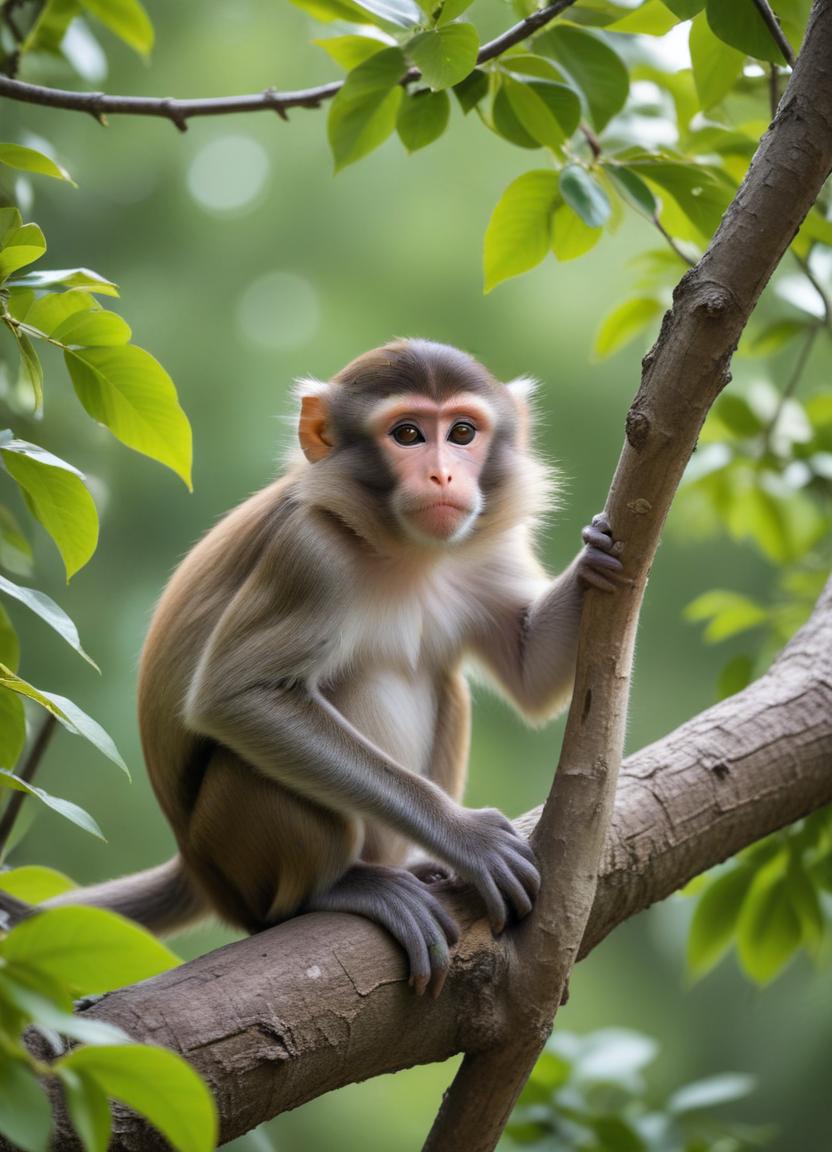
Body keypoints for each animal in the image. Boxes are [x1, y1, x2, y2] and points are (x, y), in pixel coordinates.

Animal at [3, 339, 622, 996]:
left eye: (461, 432)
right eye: (407, 434)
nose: (443, 475)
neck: (405, 553)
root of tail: (195, 868)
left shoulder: (487, 549)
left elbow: (531, 675)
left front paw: (602, 557)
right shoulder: (308, 553)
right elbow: (236, 698)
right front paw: (466, 837)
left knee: (445, 680)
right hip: (233, 854)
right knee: (256, 765)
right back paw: (336, 889)